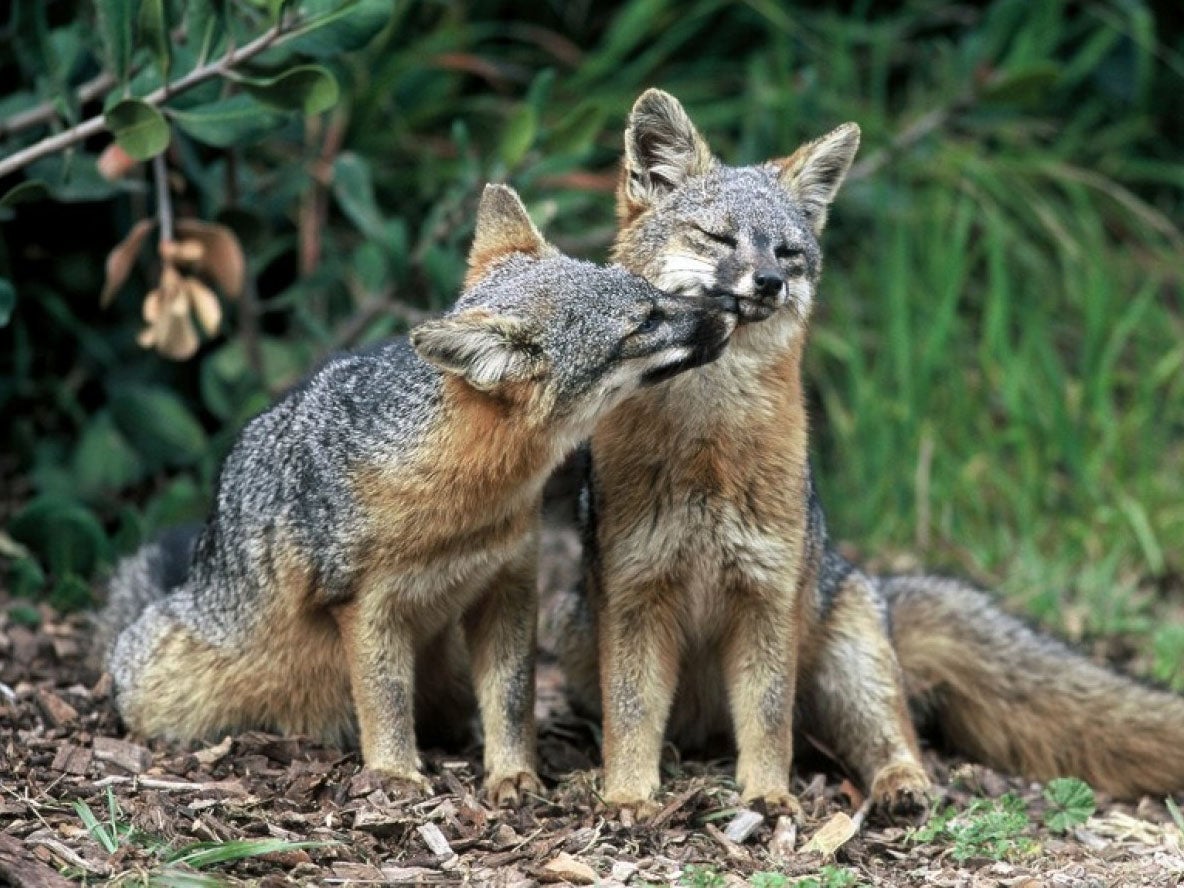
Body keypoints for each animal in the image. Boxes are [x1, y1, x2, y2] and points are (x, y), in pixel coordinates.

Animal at [94, 184, 738, 805]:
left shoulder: (509, 584)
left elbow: (513, 699)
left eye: (654, 292)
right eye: (643, 323)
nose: (730, 306)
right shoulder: (365, 606)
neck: (465, 506)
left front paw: (513, 775)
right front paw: (395, 775)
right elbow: (385, 700)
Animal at [554, 87, 1184, 819]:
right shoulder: (636, 597)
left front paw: (768, 795)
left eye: (788, 251)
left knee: (883, 736)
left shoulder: (767, 599)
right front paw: (627, 794)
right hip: (581, 641)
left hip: (847, 667)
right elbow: (631, 718)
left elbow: (767, 723)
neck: (708, 450)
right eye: (717, 237)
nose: (767, 281)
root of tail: (866, 578)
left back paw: (901, 785)